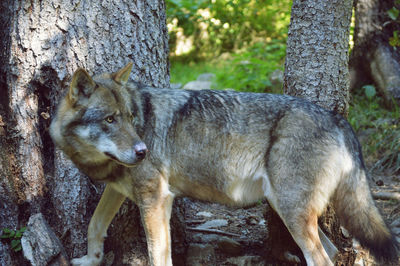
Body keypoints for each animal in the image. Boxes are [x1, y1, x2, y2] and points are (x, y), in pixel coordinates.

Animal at [51, 63, 398, 264]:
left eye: (128, 117)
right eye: (111, 120)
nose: (142, 152)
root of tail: (339, 119)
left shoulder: (156, 199)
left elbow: (157, 254)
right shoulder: (120, 191)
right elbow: (95, 225)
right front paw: (89, 260)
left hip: (291, 212)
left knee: (322, 257)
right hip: (289, 210)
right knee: (332, 252)